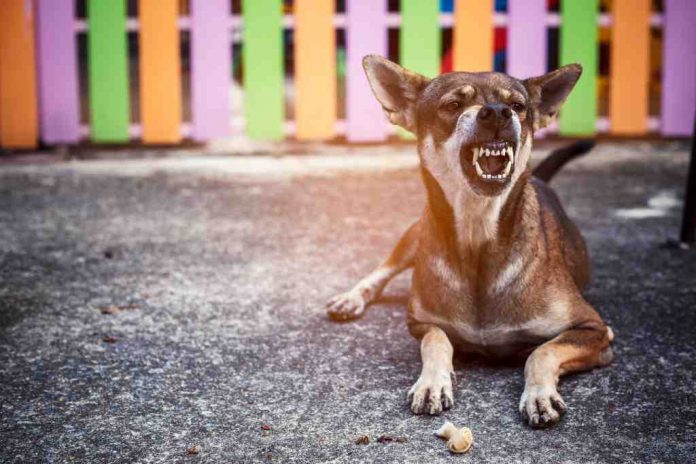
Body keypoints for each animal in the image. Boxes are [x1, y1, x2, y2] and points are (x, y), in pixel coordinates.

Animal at [326, 56, 616, 430]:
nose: (497, 113)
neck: (478, 234)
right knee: (384, 268)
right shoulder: (420, 322)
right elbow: (437, 340)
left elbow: (542, 350)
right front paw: (433, 382)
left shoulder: (594, 329)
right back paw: (351, 298)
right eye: (453, 105)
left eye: (517, 106)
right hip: (416, 232)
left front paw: (538, 394)